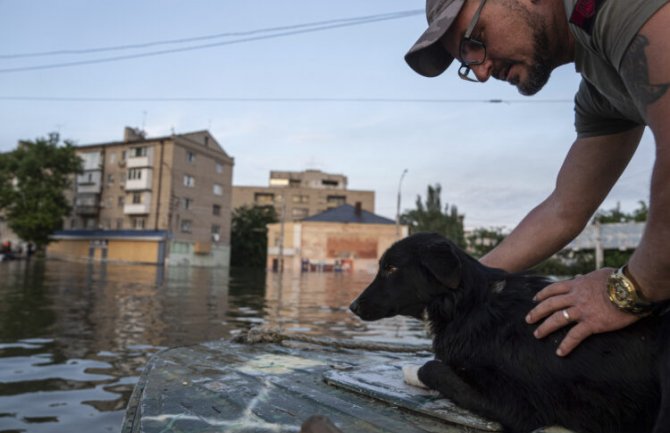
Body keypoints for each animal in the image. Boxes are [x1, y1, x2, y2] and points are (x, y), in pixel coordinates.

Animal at [350, 233, 668, 432]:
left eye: (391, 268)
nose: (353, 306)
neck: (467, 305)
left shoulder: (516, 405)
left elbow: (433, 368)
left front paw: (412, 370)